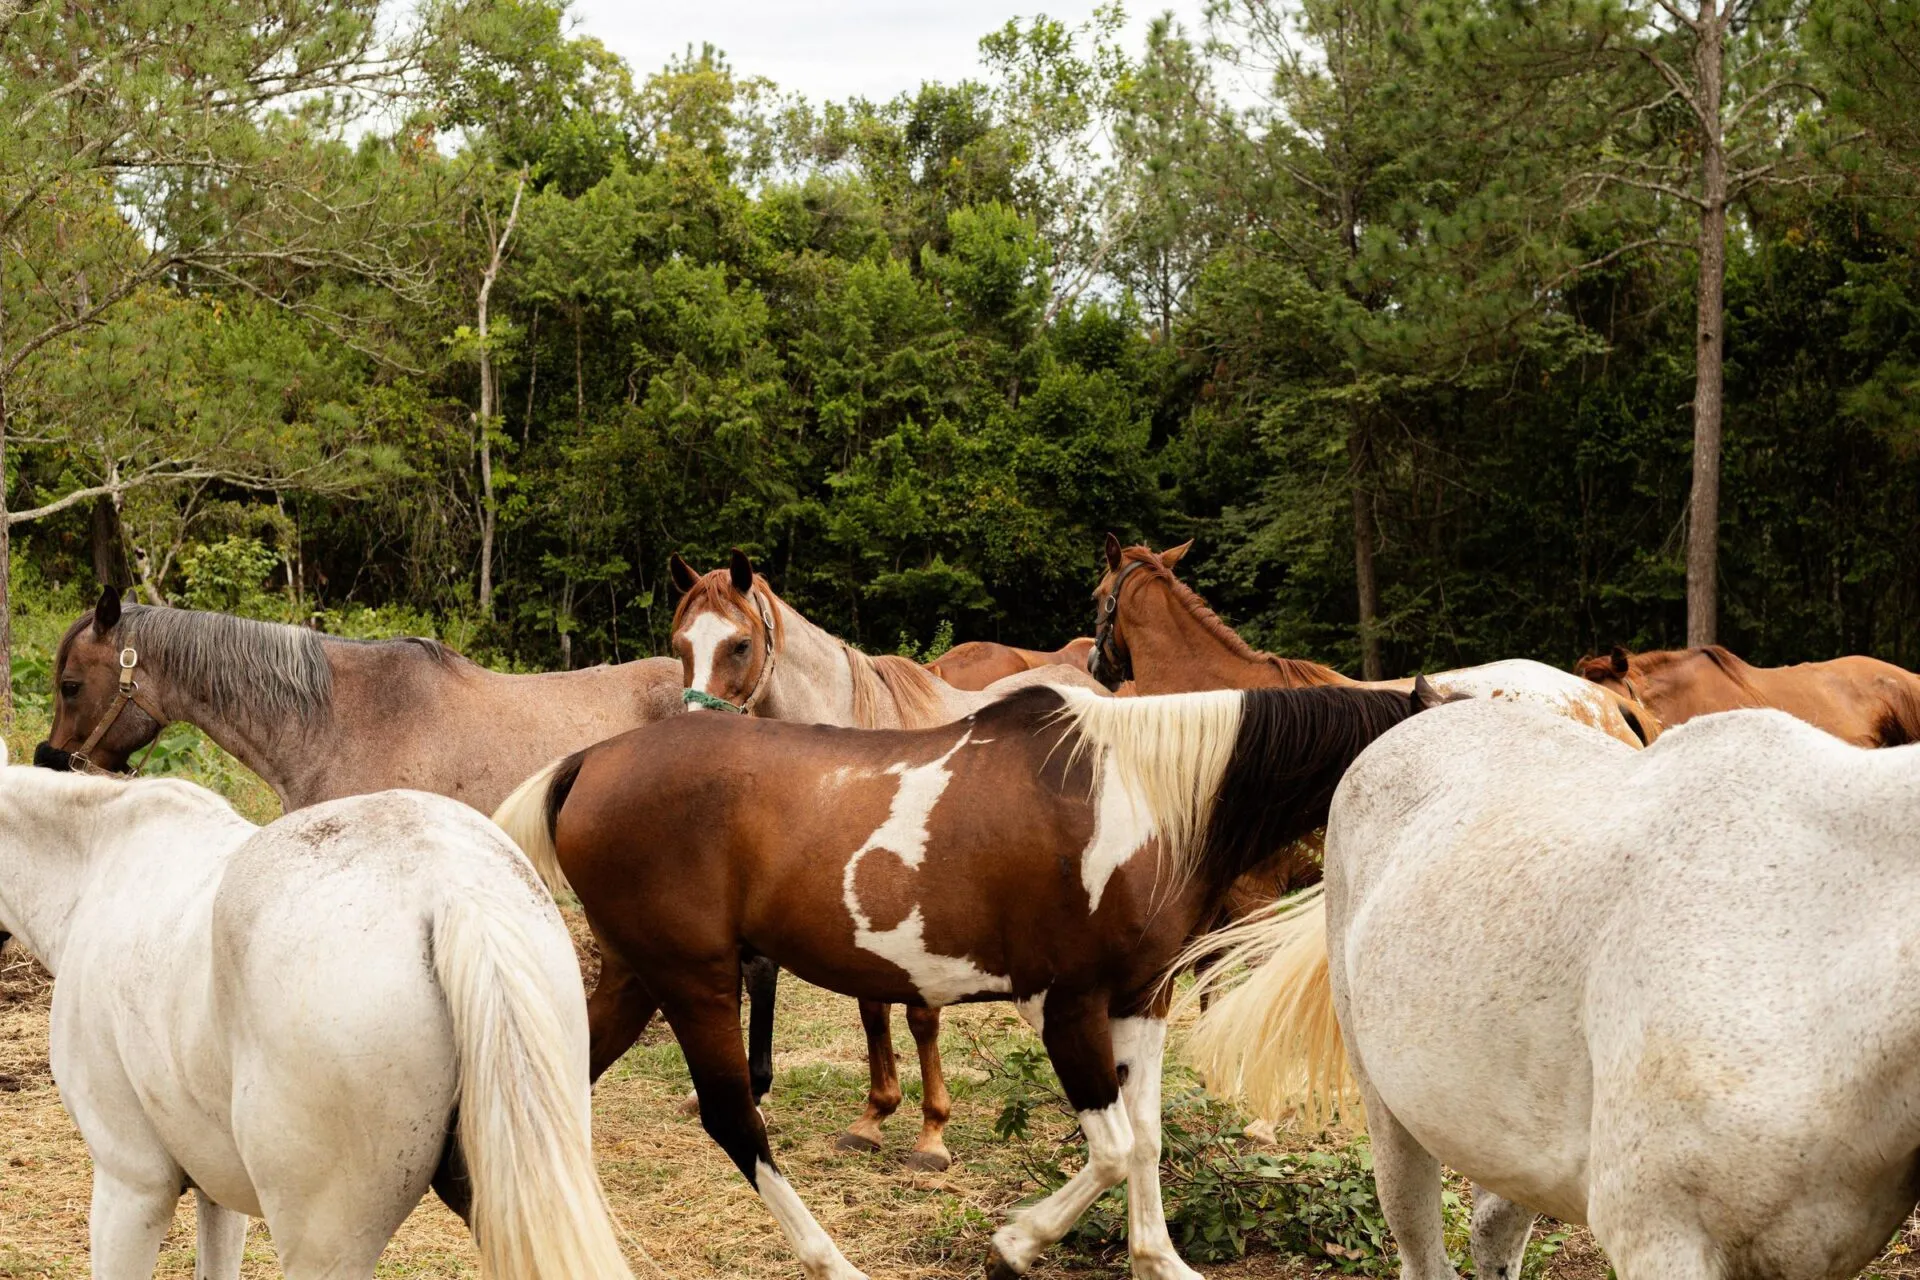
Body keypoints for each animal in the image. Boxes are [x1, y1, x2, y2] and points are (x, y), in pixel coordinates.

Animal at [492, 679, 1442, 1280]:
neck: (1145, 797)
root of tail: (589, 762)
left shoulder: (1143, 1000)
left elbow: (1146, 1139)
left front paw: (1158, 1259)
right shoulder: (1067, 1007)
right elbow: (1113, 1148)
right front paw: (1015, 1245)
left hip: (637, 977)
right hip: (692, 981)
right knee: (734, 1121)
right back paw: (834, 1262)